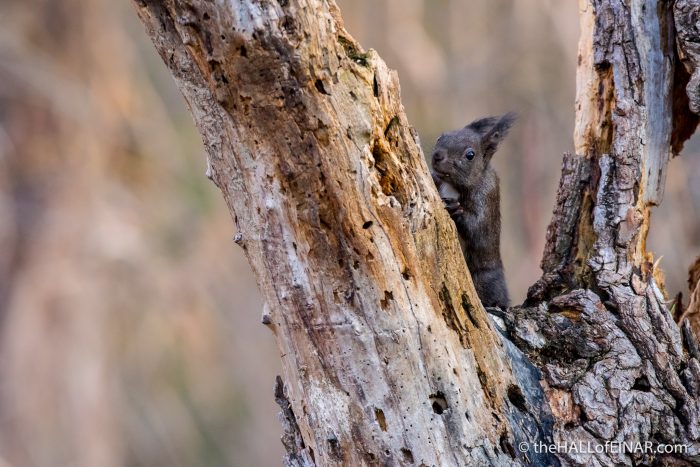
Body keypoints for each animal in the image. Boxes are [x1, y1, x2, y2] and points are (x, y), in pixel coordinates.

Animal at [430, 113, 516, 309]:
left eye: (470, 155)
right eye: (440, 137)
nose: (437, 155)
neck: (452, 184)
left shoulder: (486, 196)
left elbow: (477, 228)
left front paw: (455, 209)